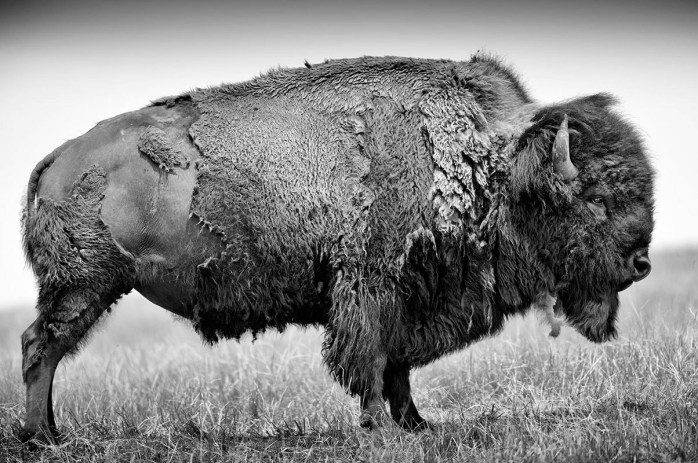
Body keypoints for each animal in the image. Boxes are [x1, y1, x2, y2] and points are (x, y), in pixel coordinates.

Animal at [19, 54, 654, 442]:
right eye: (594, 197)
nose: (641, 262)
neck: (483, 161)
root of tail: (57, 158)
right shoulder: (370, 288)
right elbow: (371, 360)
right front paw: (382, 427)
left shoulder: (407, 295)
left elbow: (398, 366)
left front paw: (416, 424)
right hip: (83, 286)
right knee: (41, 347)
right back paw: (43, 436)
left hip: (84, 288)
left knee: (43, 347)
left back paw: (47, 431)